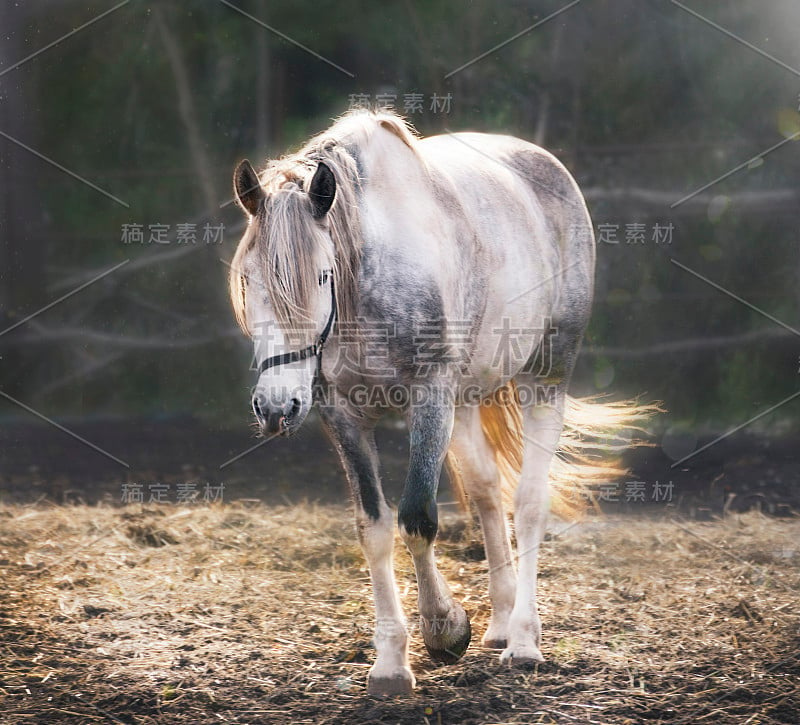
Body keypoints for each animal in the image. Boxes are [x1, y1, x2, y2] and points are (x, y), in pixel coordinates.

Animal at [228, 111, 652, 696]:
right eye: (248, 280)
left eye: (322, 275)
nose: (275, 408)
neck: (366, 285)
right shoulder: (344, 415)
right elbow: (374, 527)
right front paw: (391, 662)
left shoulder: (429, 399)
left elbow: (417, 519)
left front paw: (445, 630)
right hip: (468, 401)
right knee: (488, 493)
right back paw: (500, 624)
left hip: (545, 379)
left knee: (529, 502)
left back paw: (524, 642)